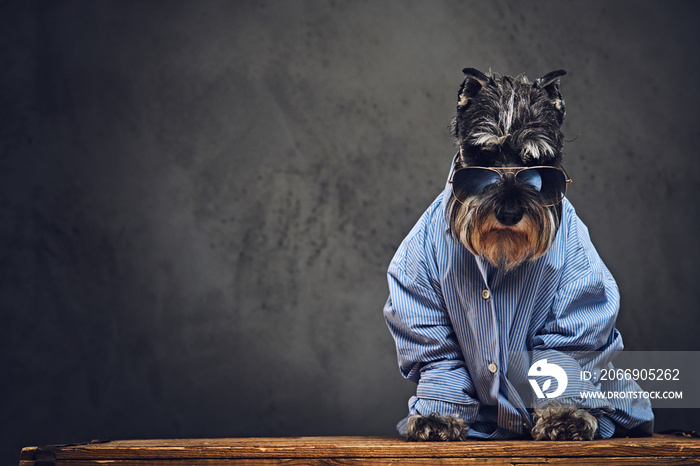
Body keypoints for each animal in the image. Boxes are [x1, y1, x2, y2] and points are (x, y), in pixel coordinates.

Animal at [382, 68, 652, 440]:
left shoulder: (575, 303)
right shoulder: (421, 302)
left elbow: (561, 358)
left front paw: (564, 417)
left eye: (538, 166)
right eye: (483, 161)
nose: (509, 212)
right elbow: (441, 362)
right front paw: (437, 418)